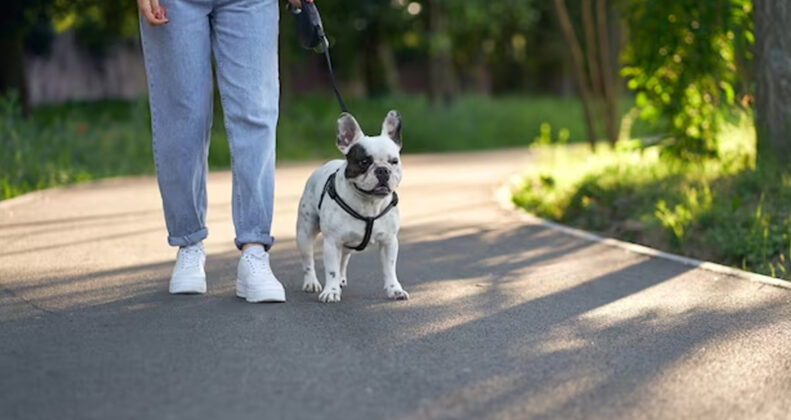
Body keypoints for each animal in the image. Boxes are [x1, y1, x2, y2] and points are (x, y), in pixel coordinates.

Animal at [296, 110, 408, 302]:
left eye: (394, 162)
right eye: (364, 162)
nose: (382, 170)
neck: (369, 203)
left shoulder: (389, 241)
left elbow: (390, 268)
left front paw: (395, 289)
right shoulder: (332, 242)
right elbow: (331, 270)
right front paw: (331, 291)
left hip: (348, 243)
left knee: (344, 259)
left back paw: (341, 280)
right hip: (305, 232)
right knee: (308, 259)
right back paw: (311, 282)